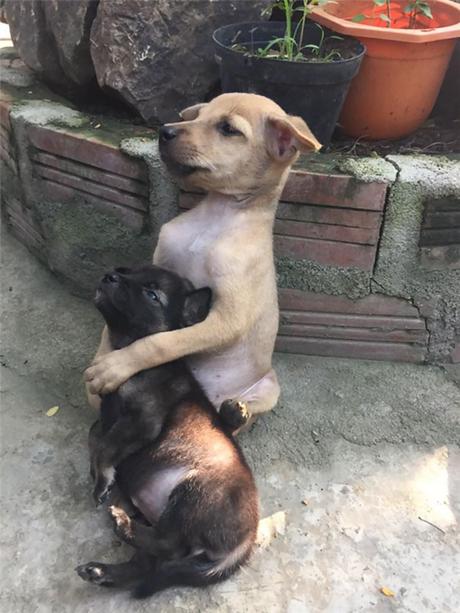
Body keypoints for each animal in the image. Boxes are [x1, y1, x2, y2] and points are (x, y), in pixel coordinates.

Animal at [77, 266, 260, 596]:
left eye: (152, 295)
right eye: (124, 271)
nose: (110, 276)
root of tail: (248, 541)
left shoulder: (143, 419)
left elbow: (106, 444)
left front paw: (102, 480)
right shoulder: (110, 419)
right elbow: (95, 434)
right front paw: (99, 474)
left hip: (195, 493)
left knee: (169, 545)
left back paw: (122, 524)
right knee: (146, 564)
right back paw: (101, 571)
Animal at [84, 93, 320, 420]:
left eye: (228, 129)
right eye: (198, 116)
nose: (165, 130)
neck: (214, 218)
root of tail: (209, 398)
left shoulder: (228, 318)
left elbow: (164, 342)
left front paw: (116, 366)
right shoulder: (161, 266)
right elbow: (114, 326)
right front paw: (107, 355)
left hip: (269, 389)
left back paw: (234, 412)